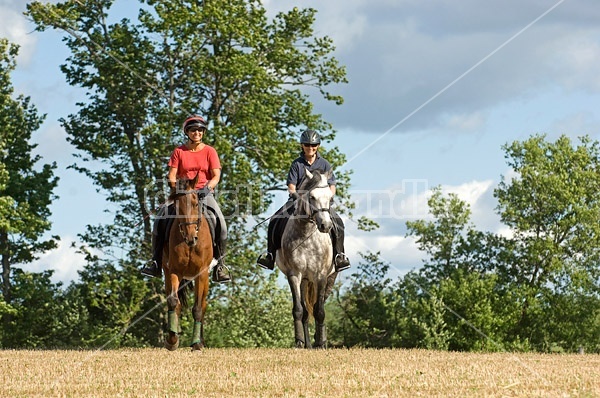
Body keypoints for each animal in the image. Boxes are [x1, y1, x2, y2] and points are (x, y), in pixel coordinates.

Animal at [162, 174, 213, 352]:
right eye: (177, 207)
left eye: (195, 203)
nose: (191, 237)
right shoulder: (174, 271)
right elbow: (173, 301)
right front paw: (172, 340)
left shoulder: (201, 273)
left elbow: (197, 308)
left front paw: (196, 344)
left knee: (203, 305)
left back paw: (201, 341)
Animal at [276, 168, 338, 348]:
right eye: (312, 197)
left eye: (330, 198)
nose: (326, 226)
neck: (306, 233)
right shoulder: (294, 275)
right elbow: (298, 310)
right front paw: (299, 342)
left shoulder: (321, 276)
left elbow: (320, 310)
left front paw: (321, 343)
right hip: (304, 280)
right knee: (304, 312)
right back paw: (308, 344)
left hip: (330, 278)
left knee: (319, 305)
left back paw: (319, 340)